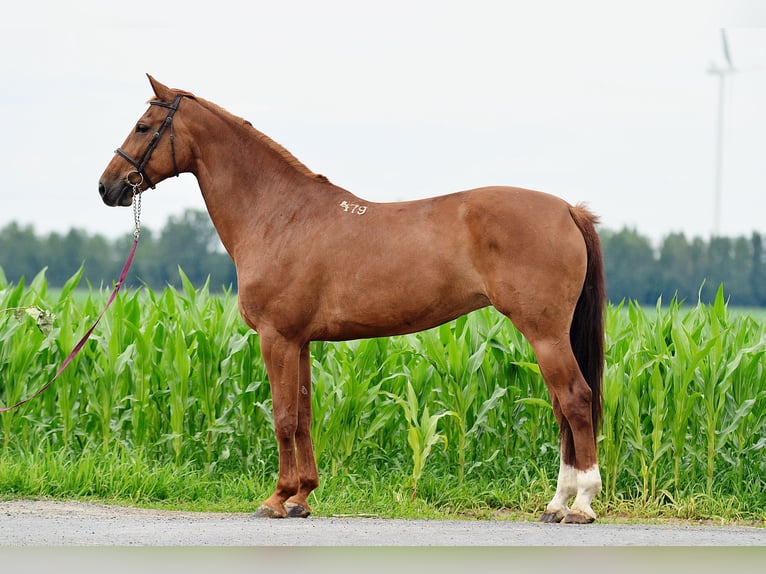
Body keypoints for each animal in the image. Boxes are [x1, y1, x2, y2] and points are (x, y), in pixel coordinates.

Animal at [99, 76, 608, 528]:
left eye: (143, 126)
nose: (107, 187)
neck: (279, 215)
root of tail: (567, 209)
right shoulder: (300, 341)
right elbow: (304, 416)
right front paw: (301, 498)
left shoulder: (276, 338)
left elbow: (283, 418)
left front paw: (276, 498)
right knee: (561, 408)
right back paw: (556, 505)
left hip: (544, 334)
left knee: (576, 400)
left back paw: (580, 505)